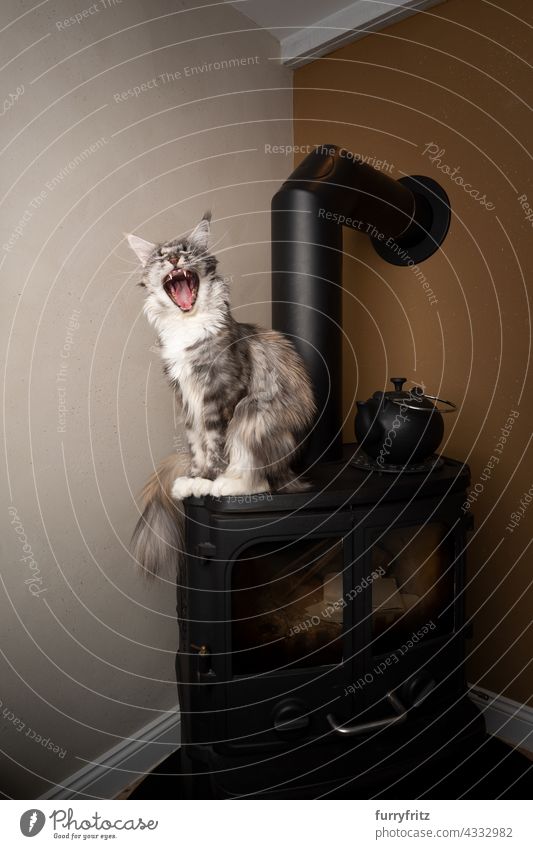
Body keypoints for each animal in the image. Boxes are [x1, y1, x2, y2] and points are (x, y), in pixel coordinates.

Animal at [127, 212, 314, 576]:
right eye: (161, 257)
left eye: (186, 251)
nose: (174, 260)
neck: (188, 325)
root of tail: (291, 473)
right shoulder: (186, 398)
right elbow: (196, 443)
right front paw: (194, 476)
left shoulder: (221, 393)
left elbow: (215, 443)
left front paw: (208, 479)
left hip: (253, 414)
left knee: (260, 481)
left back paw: (225, 484)